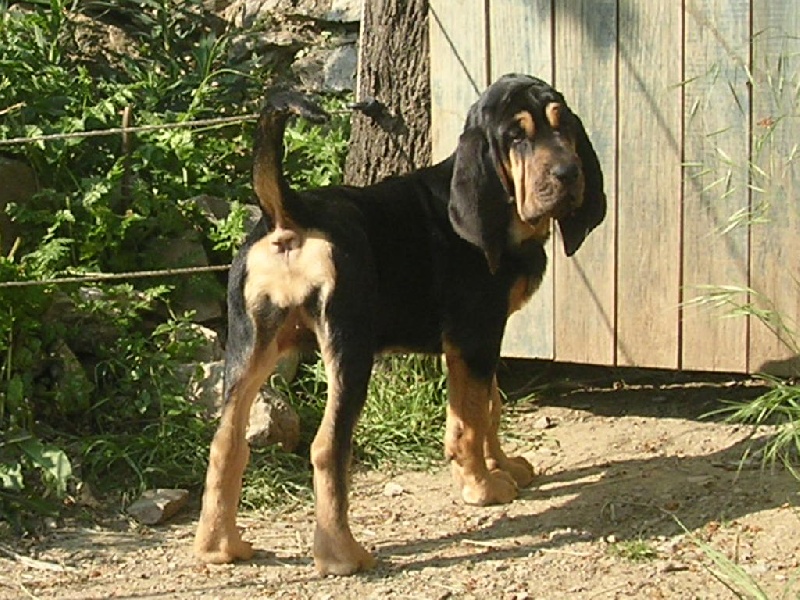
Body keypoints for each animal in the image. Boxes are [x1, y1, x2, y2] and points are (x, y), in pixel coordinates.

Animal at [194, 74, 606, 575]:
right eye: (515, 137)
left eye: (561, 125)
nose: (569, 174)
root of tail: (291, 212)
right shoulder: (475, 334)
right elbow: (473, 419)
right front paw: (483, 488)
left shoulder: (481, 341)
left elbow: (488, 407)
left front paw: (503, 467)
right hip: (349, 348)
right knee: (327, 447)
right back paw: (341, 555)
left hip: (249, 345)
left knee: (225, 443)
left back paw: (218, 547)